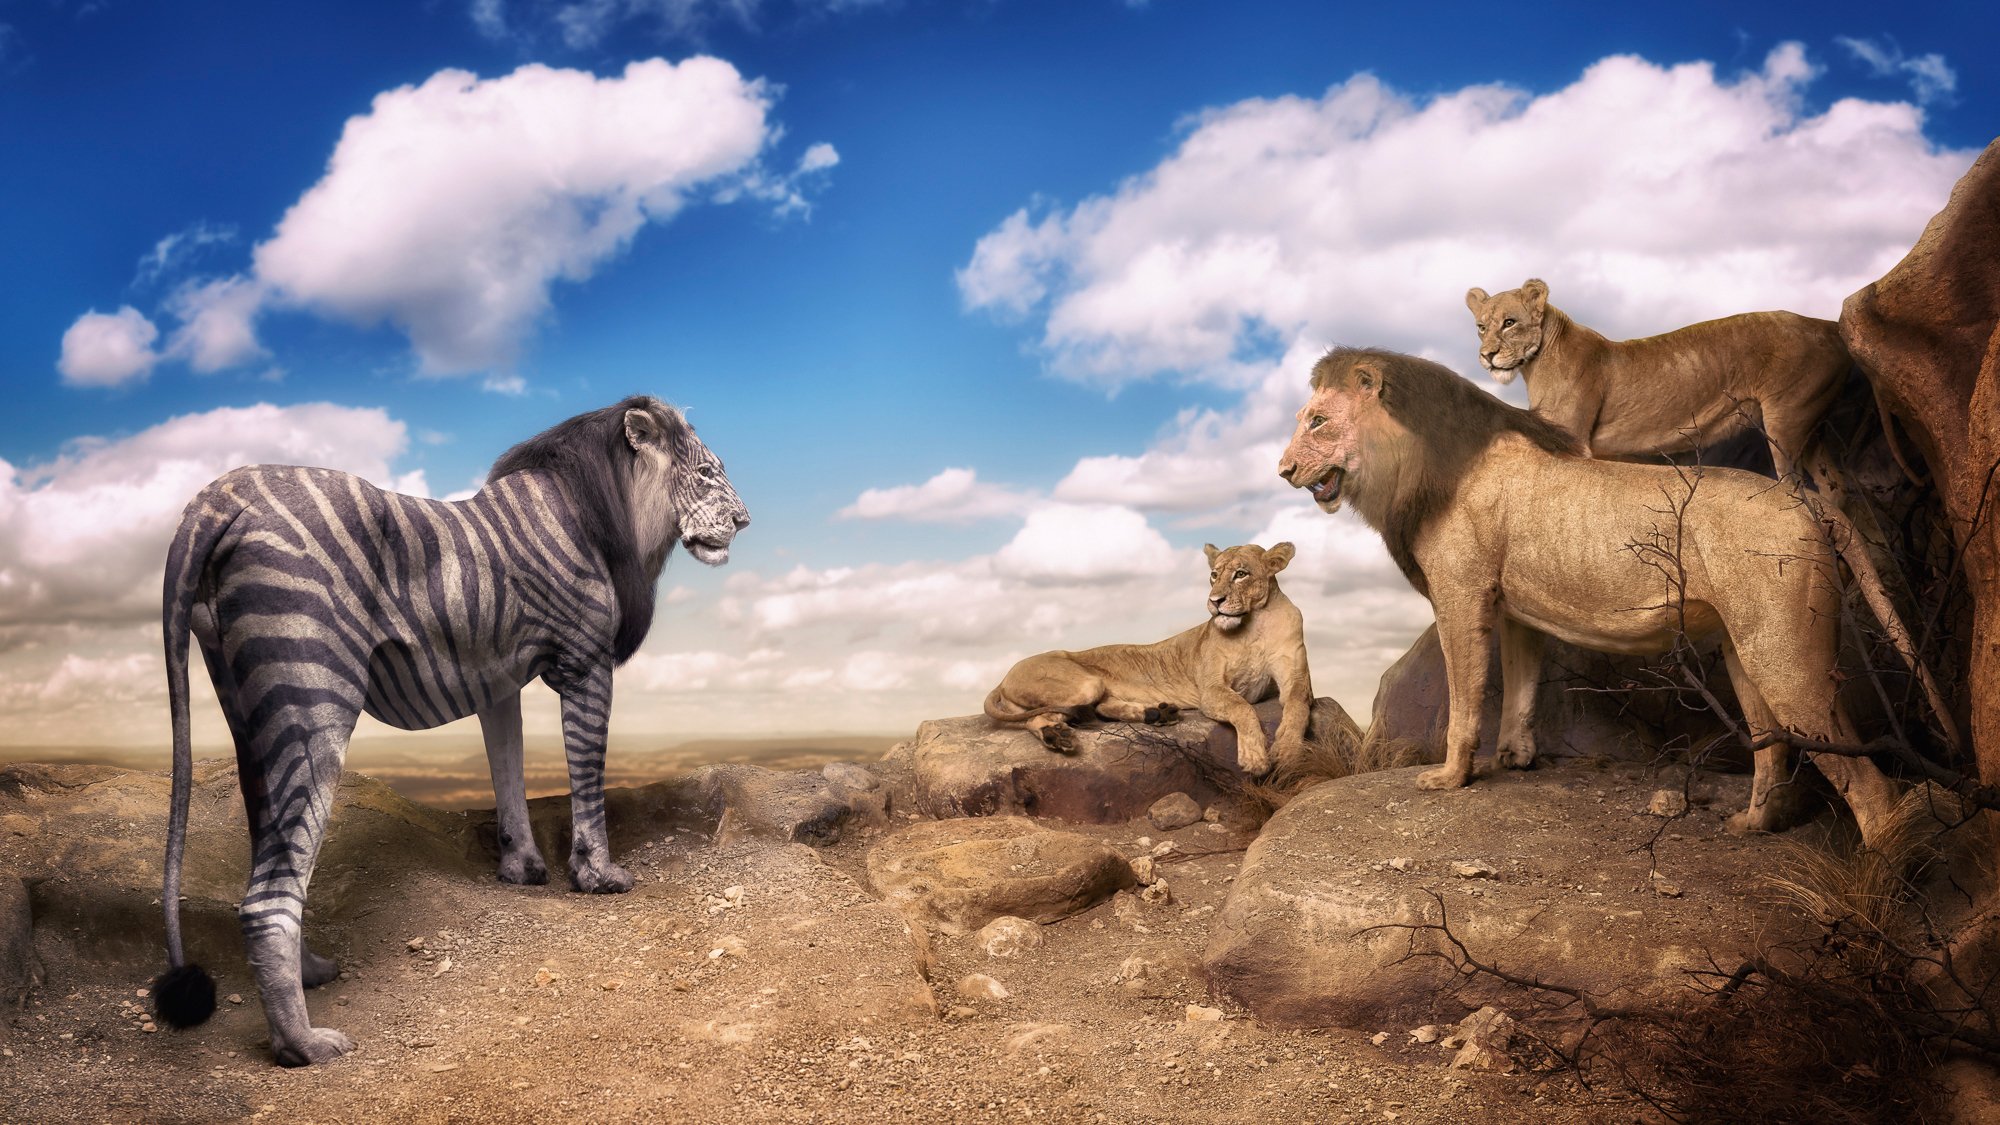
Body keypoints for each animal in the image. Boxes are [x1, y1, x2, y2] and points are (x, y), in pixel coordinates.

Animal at [983, 542, 1312, 776]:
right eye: (1214, 575)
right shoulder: (1211, 690)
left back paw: (1157, 714)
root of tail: (1002, 678)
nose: (1215, 602)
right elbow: (1242, 708)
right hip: (1085, 683)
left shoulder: (1295, 677)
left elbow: (1298, 705)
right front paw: (1255, 758)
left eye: (1241, 574)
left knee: (1099, 708)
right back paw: (1056, 737)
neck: (1255, 623)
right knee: (1039, 717)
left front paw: (1286, 750)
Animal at [1277, 347, 1957, 845]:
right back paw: (1750, 825)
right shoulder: (1515, 608)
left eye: (1317, 421)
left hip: (1785, 654)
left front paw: (1451, 778)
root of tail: (1805, 499)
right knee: (1772, 750)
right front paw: (1515, 759)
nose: (1283, 471)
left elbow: (1468, 697)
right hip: (1743, 650)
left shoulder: (1462, 593)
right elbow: (1521, 686)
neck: (1412, 464)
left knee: (1871, 787)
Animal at [1465, 278, 1861, 482]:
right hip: (1815, 435)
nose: (1486, 355)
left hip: (1787, 421)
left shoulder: (1574, 442)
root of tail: (1827, 323)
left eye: (1510, 323)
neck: (1534, 363)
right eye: (1481, 326)